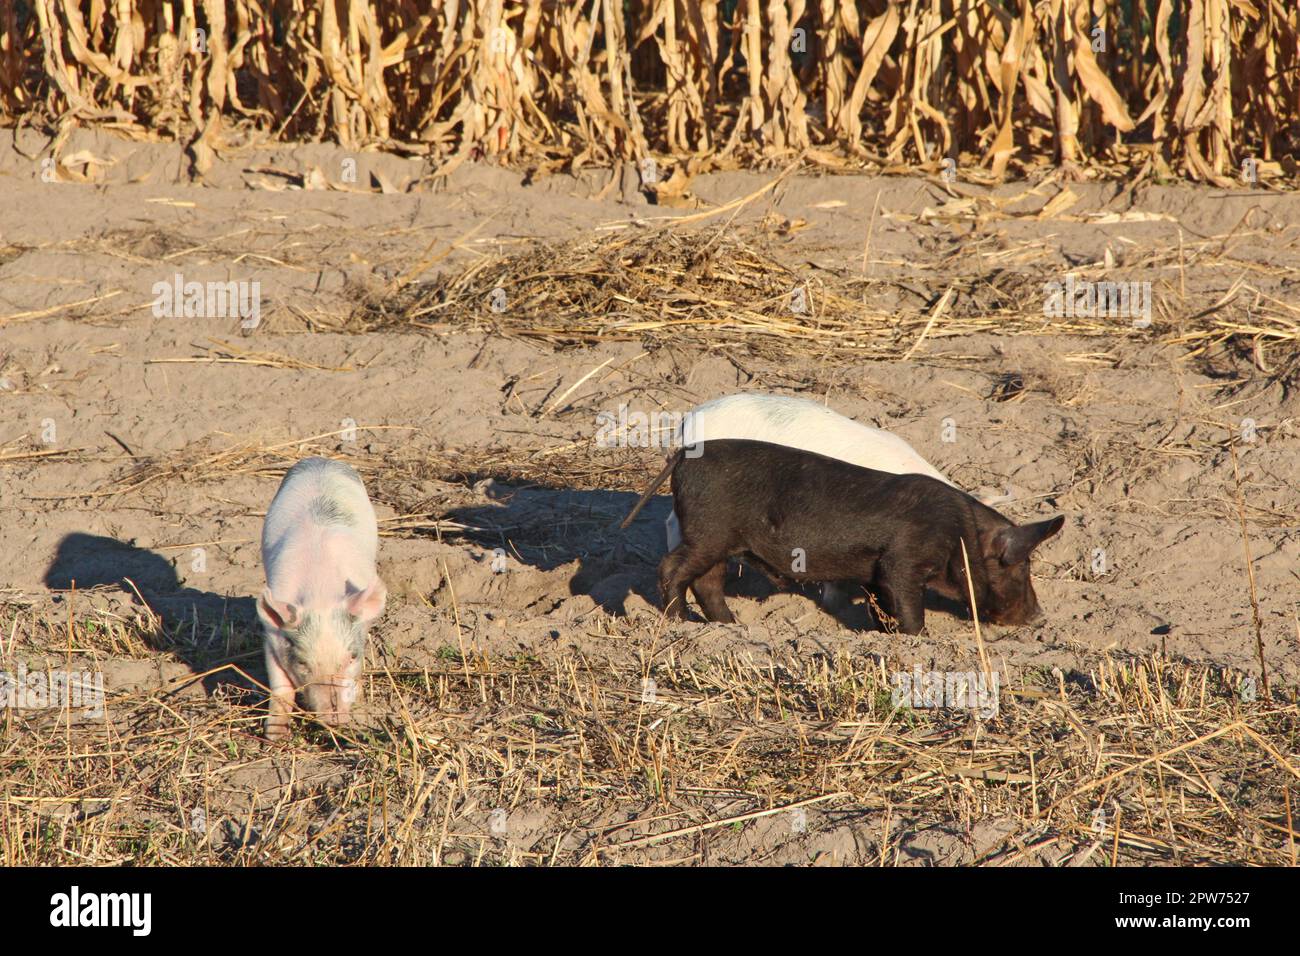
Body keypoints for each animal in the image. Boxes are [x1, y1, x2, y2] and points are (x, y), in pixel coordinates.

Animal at [257, 455, 384, 738]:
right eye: (303, 663)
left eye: (352, 656)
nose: (334, 718)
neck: (320, 593)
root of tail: (320, 460)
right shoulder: (272, 635)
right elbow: (280, 687)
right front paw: (275, 738)